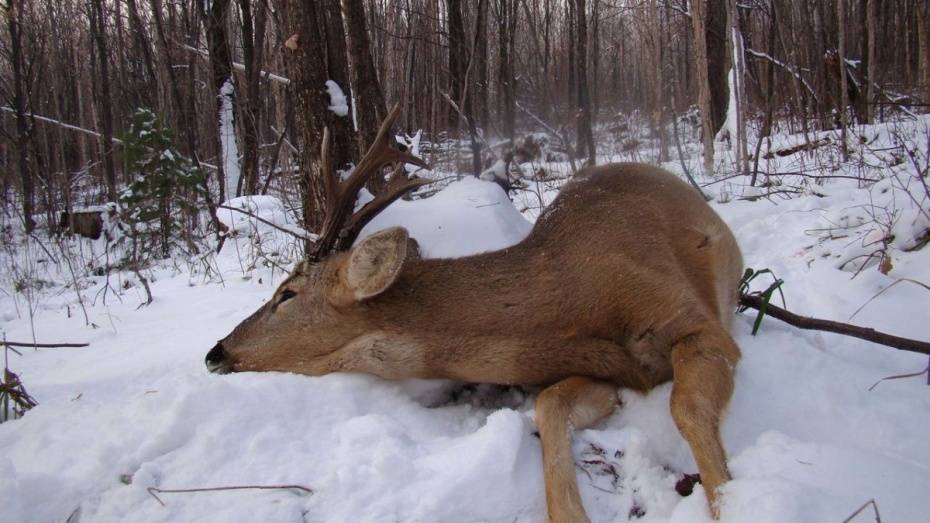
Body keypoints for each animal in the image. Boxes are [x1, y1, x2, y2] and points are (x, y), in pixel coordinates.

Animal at [207, 107, 744, 523]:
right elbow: (548, 404)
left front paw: (731, 502)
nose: (216, 351)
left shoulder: (693, 319)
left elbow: (687, 407)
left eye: (287, 293)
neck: (569, 304)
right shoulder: (600, 371)